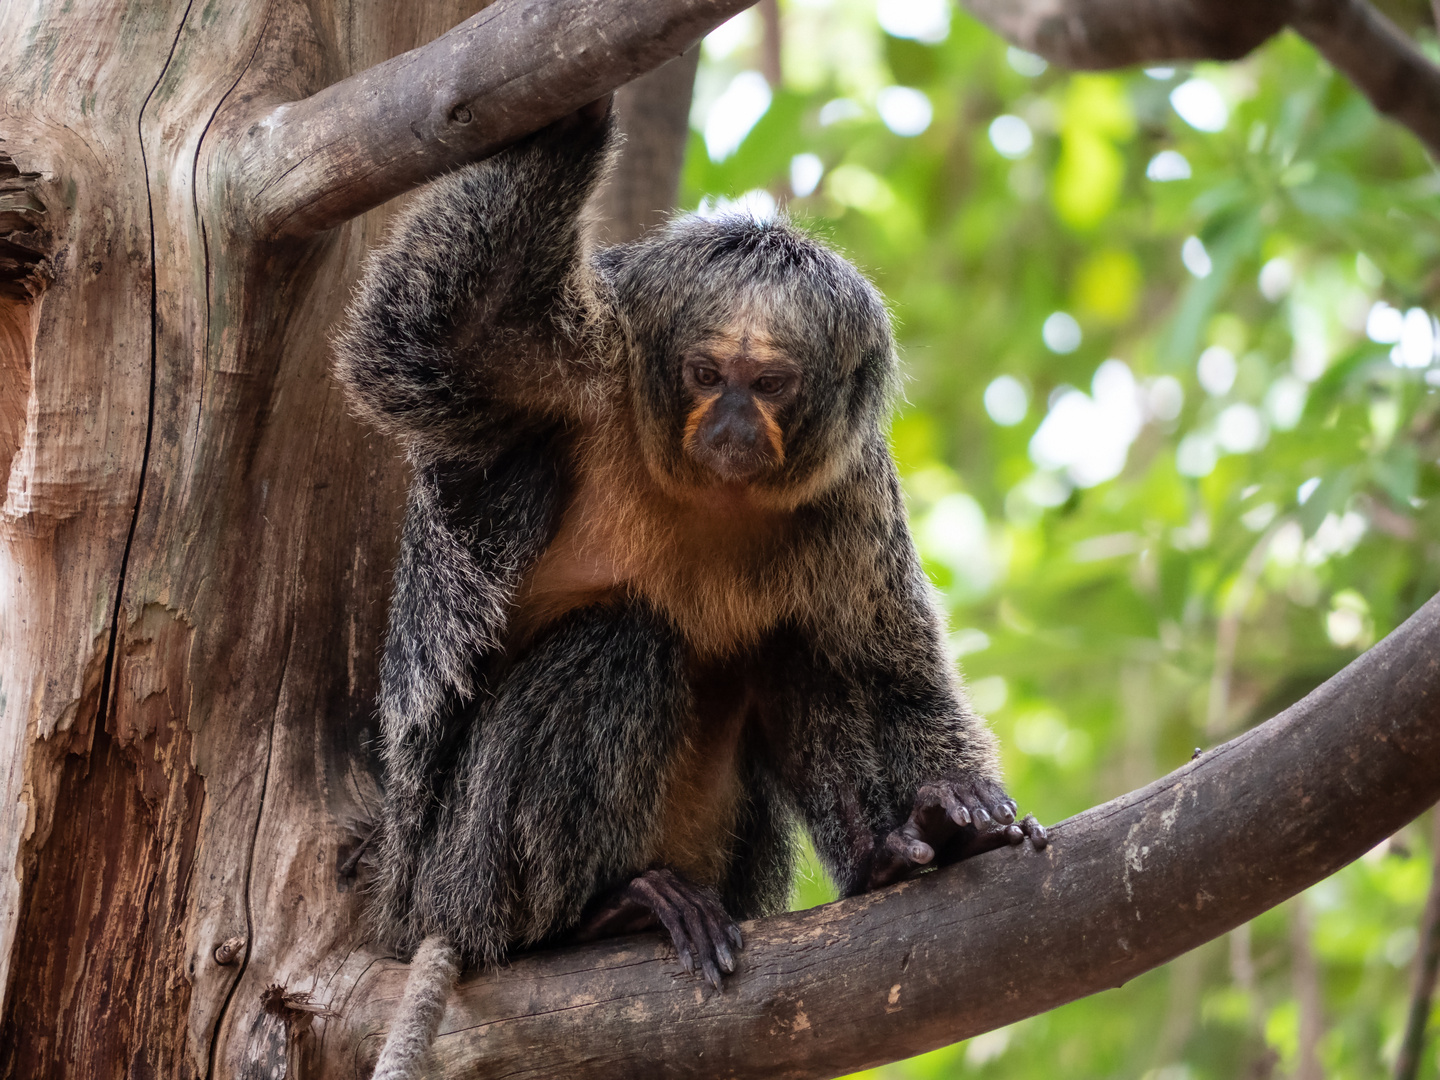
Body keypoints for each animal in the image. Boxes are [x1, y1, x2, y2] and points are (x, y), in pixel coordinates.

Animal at [331, 97, 1042, 1077]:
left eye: (770, 382)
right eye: (707, 374)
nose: (735, 418)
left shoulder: (850, 489)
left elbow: (887, 670)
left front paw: (959, 807)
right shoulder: (571, 380)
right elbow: (418, 342)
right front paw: (577, 108)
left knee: (795, 654)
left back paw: (883, 857)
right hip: (450, 875)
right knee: (623, 640)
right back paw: (600, 914)